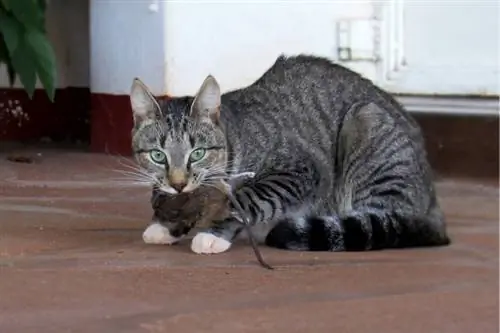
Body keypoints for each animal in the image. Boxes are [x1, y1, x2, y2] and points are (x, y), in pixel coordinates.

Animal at [129, 54, 450, 253]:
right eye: (158, 155)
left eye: (197, 153)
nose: (179, 183)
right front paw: (166, 224)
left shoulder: (299, 170)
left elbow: (248, 198)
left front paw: (212, 232)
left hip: (367, 125)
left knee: (386, 220)